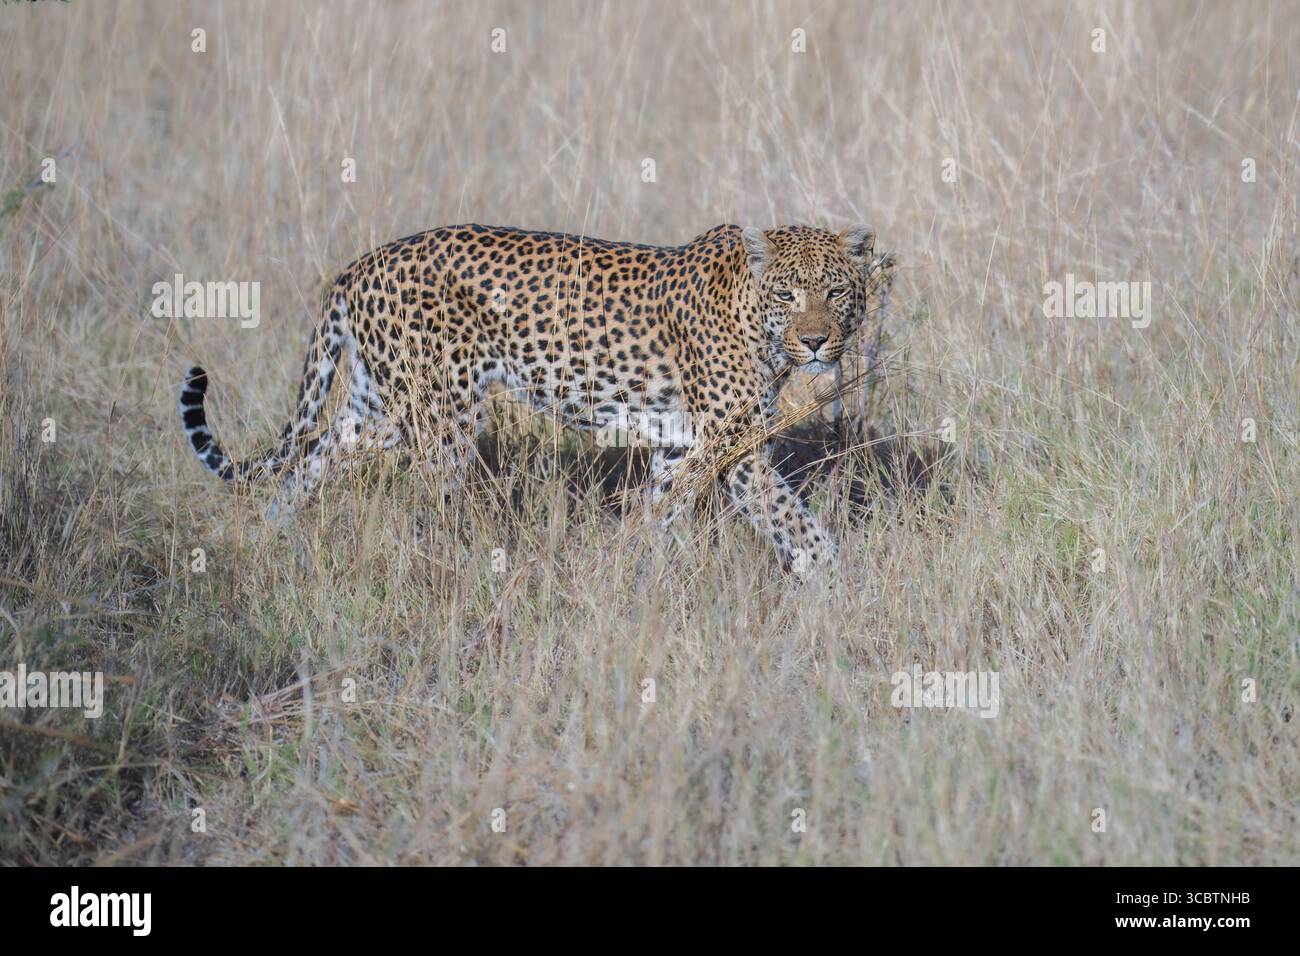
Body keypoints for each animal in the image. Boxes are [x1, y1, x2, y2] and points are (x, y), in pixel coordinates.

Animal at [178, 222, 895, 570]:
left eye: (836, 291)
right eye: (788, 294)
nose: (815, 342)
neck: (756, 322)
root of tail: (361, 264)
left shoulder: (686, 445)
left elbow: (659, 513)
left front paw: (626, 572)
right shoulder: (733, 445)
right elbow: (793, 520)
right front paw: (837, 584)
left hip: (378, 406)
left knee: (316, 454)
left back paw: (269, 535)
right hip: (441, 416)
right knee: (438, 502)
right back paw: (465, 569)